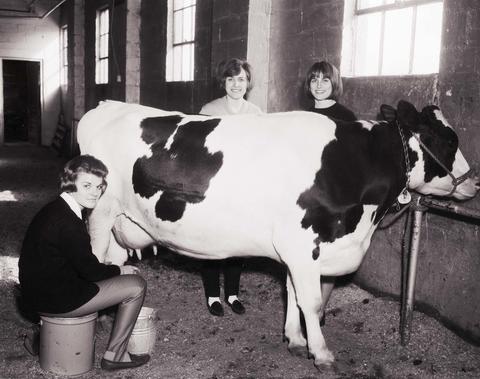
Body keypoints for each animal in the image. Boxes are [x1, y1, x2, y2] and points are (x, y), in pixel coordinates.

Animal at [78, 99, 476, 370]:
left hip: (121, 224)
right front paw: (322, 353)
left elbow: (293, 295)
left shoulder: (299, 248)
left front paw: (295, 340)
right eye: (448, 140)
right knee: (95, 261)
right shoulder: (302, 244)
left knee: (114, 263)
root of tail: (107, 105)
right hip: (99, 214)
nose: (474, 183)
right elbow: (311, 301)